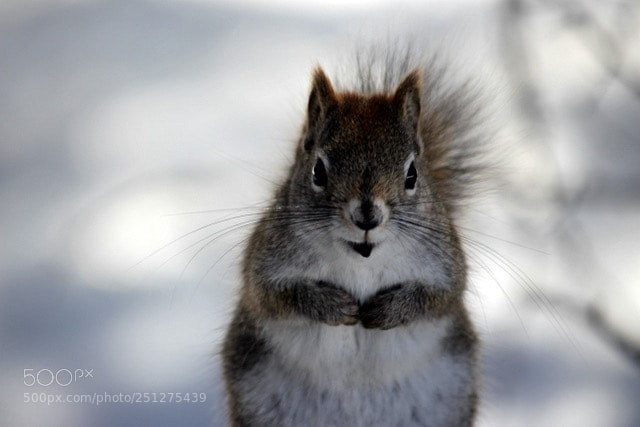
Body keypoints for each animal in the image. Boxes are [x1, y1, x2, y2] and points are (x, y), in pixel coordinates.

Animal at [221, 47, 483, 427]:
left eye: (412, 174)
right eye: (317, 170)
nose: (367, 216)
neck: (362, 259)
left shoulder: (448, 265)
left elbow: (439, 298)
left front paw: (390, 309)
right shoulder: (263, 263)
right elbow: (275, 296)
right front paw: (330, 305)